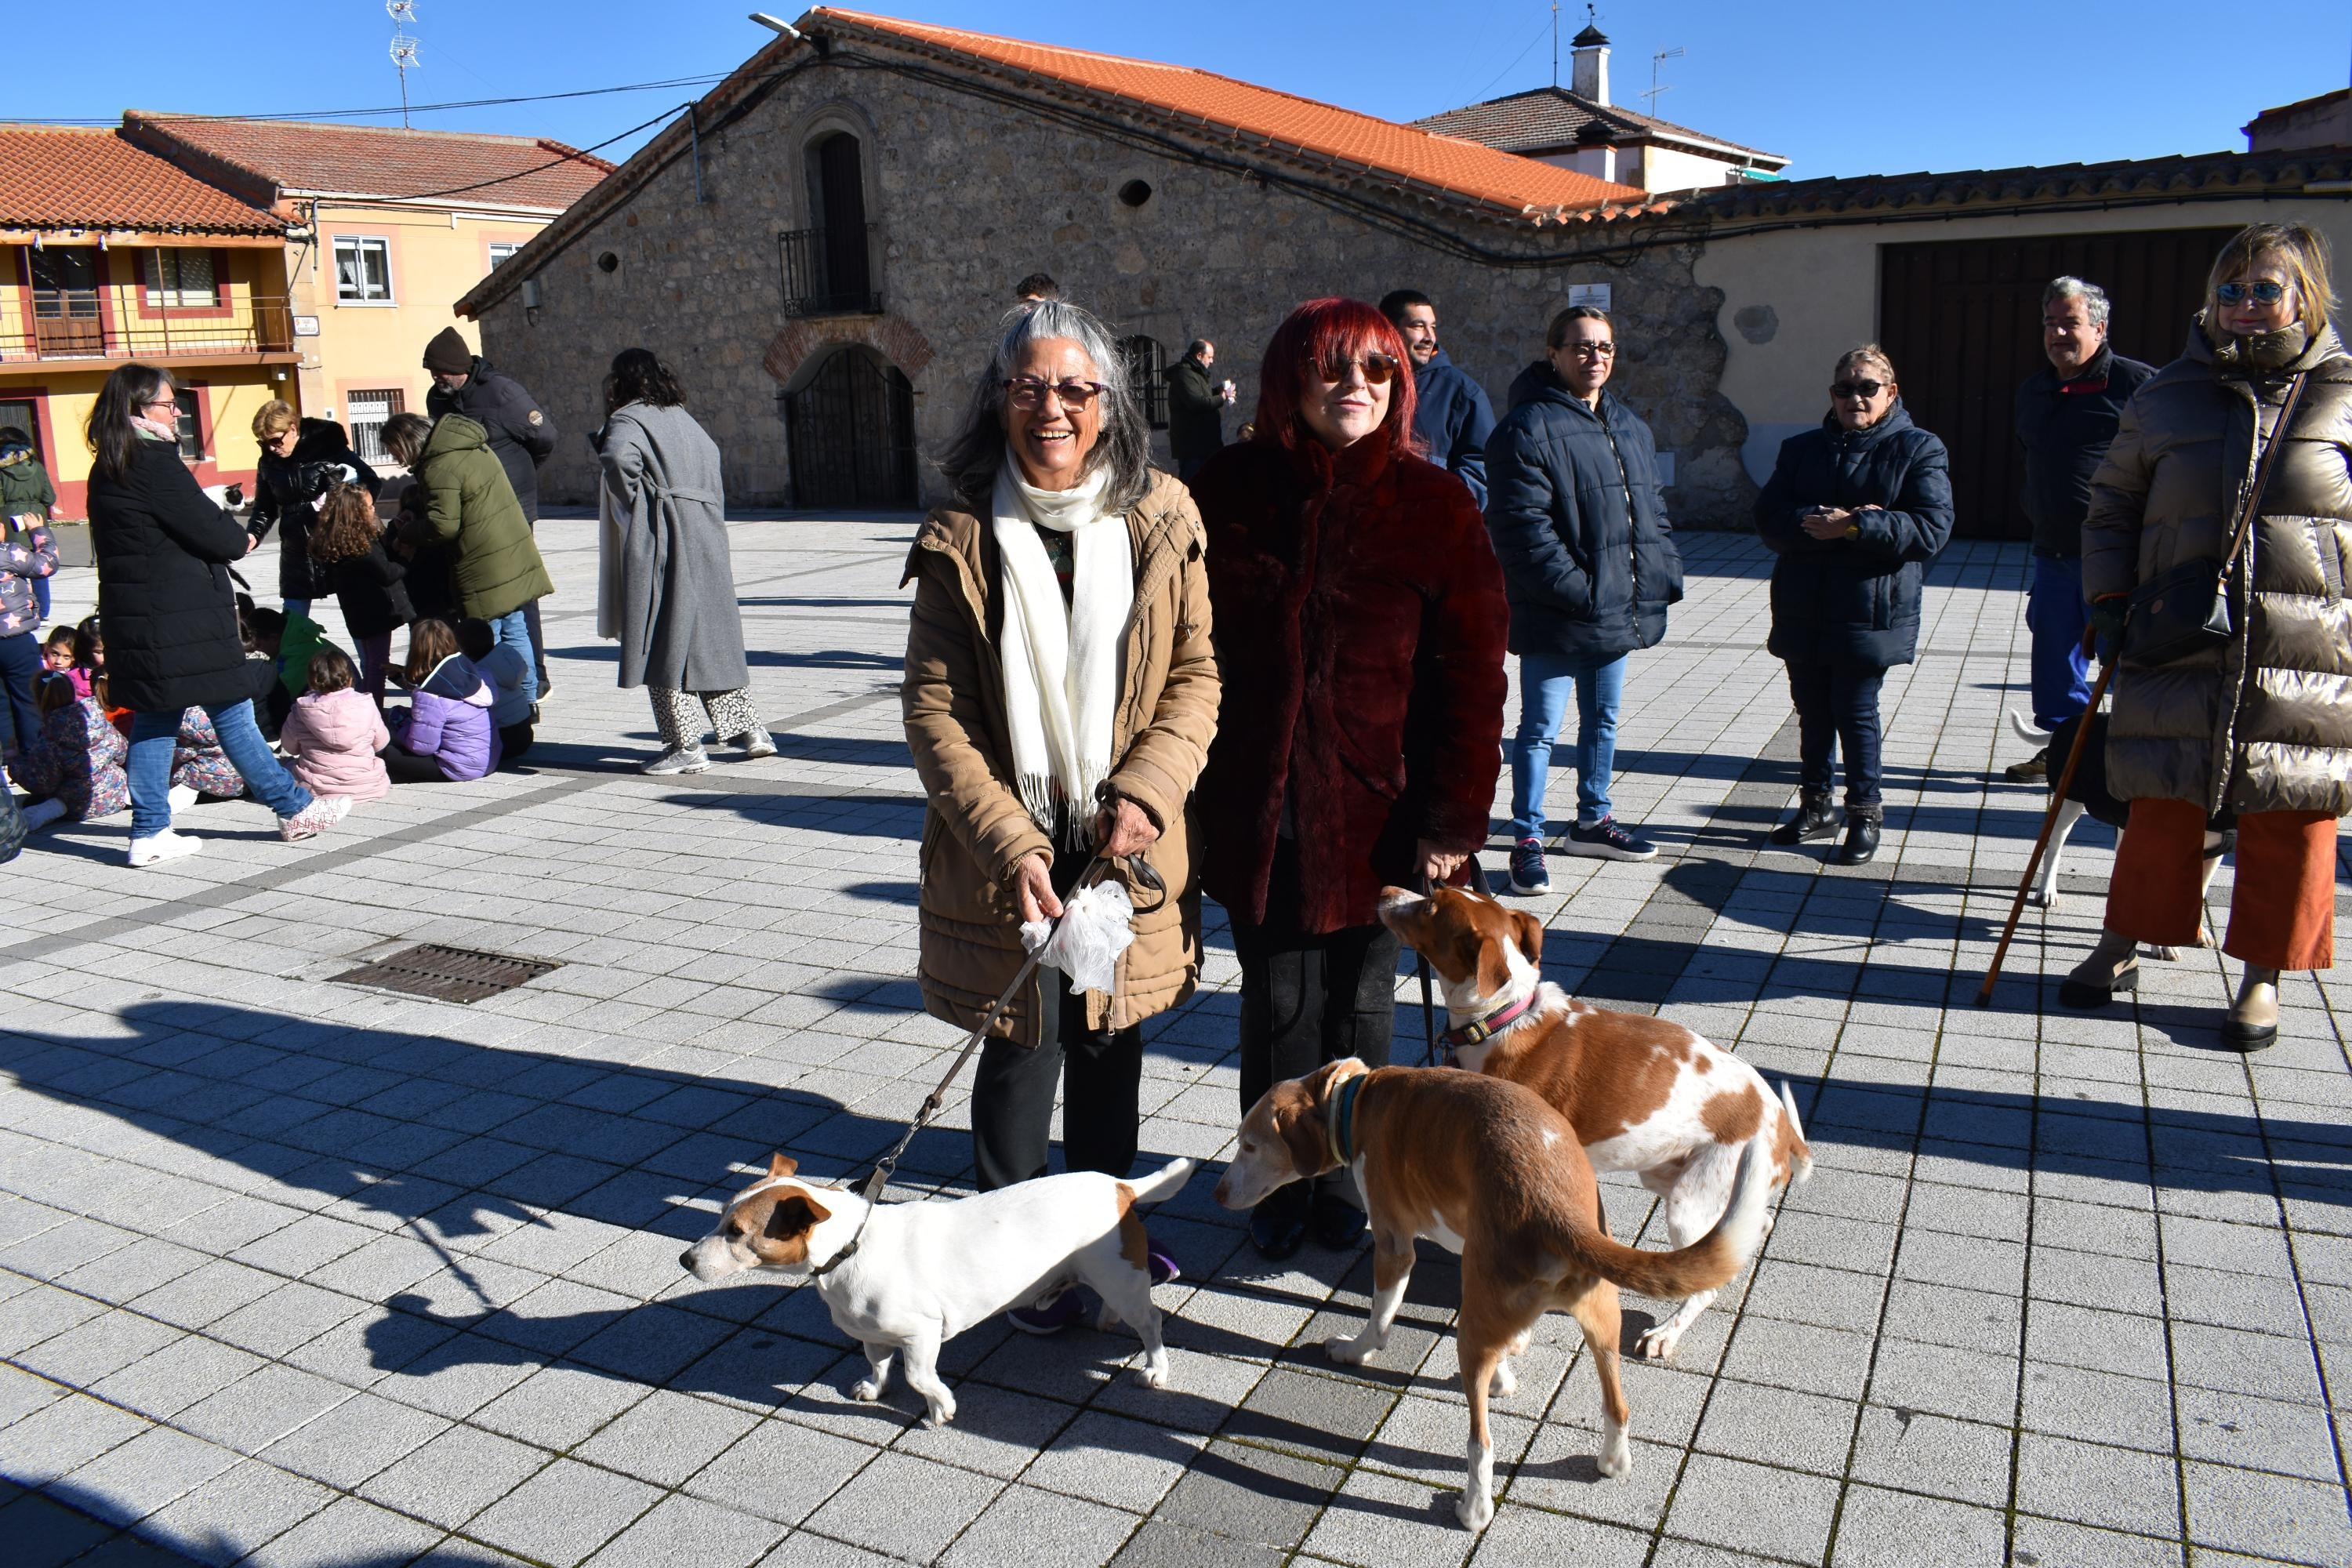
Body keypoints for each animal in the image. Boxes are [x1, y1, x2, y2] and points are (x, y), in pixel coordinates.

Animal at [682, 1147, 1195, 1429]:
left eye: (737, 1231)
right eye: (720, 1215)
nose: (684, 1260)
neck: (851, 1246)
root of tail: (1119, 1187)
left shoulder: (922, 1333)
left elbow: (918, 1377)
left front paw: (940, 1407)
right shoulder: (871, 1332)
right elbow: (877, 1362)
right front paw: (874, 1387)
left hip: (1118, 1276)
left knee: (1150, 1322)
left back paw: (1155, 1368)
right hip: (1108, 1273)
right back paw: (1107, 1317)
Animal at [1223, 1067, 1769, 1533]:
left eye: (1249, 1145)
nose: (1217, 1195)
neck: (1352, 1098)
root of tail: (1557, 1208)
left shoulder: (1395, 1246)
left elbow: (1379, 1318)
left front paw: (1355, 1351)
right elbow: (1510, 1349)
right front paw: (1510, 1368)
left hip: (1473, 1336)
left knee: (1481, 1445)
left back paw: (1473, 1510)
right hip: (1600, 1322)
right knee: (1617, 1405)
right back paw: (1610, 1460)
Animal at [1374, 884, 1816, 1363]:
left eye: (1430, 904)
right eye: (1437, 891)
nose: (1386, 890)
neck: (1501, 1018)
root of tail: (1784, 1126)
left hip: (1688, 1201)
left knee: (1705, 1287)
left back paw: (1666, 1332)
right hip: (1670, 1176)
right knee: (1751, 1227)